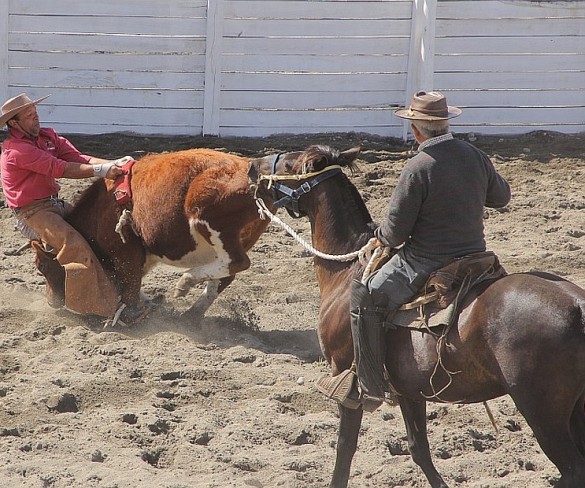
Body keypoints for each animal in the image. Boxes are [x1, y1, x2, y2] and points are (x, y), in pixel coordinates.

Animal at [249, 145, 584, 488]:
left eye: (291, 163)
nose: (252, 167)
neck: (346, 271)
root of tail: (577, 305)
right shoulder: (409, 391)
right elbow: (418, 449)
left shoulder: (345, 378)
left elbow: (345, 448)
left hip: (543, 413)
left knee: (572, 469)